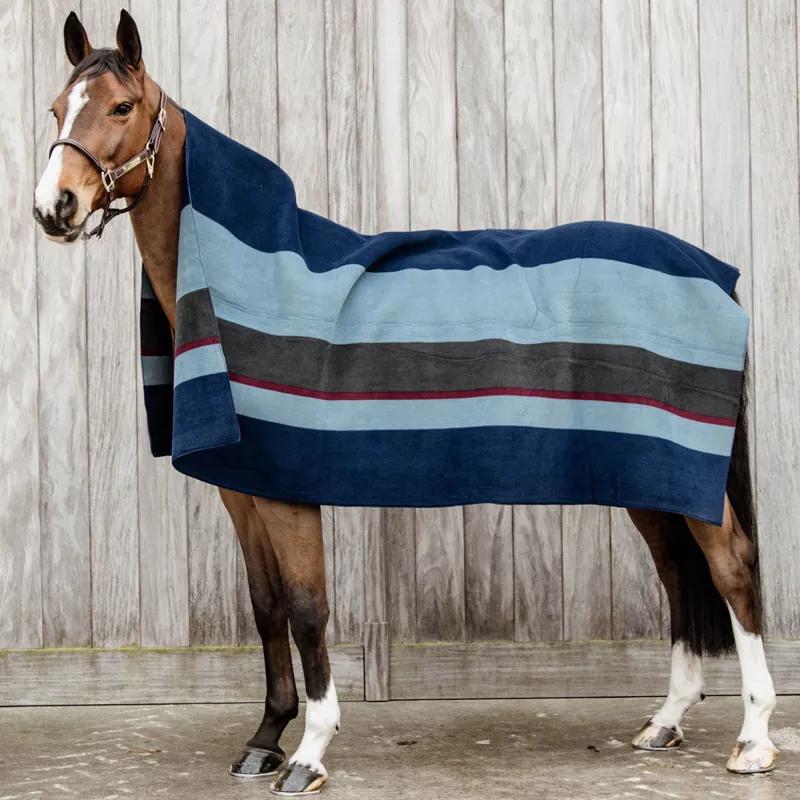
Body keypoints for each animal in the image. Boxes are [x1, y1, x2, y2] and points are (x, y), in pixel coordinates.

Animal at [34, 9, 780, 796]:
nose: (55, 207)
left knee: (731, 568)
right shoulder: (243, 491)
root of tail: (713, 271)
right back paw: (665, 722)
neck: (250, 284)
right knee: (677, 575)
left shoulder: (290, 492)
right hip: (646, 476)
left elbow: (307, 609)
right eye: (57, 109)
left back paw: (755, 738)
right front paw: (264, 739)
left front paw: (309, 752)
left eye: (122, 107)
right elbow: (267, 608)